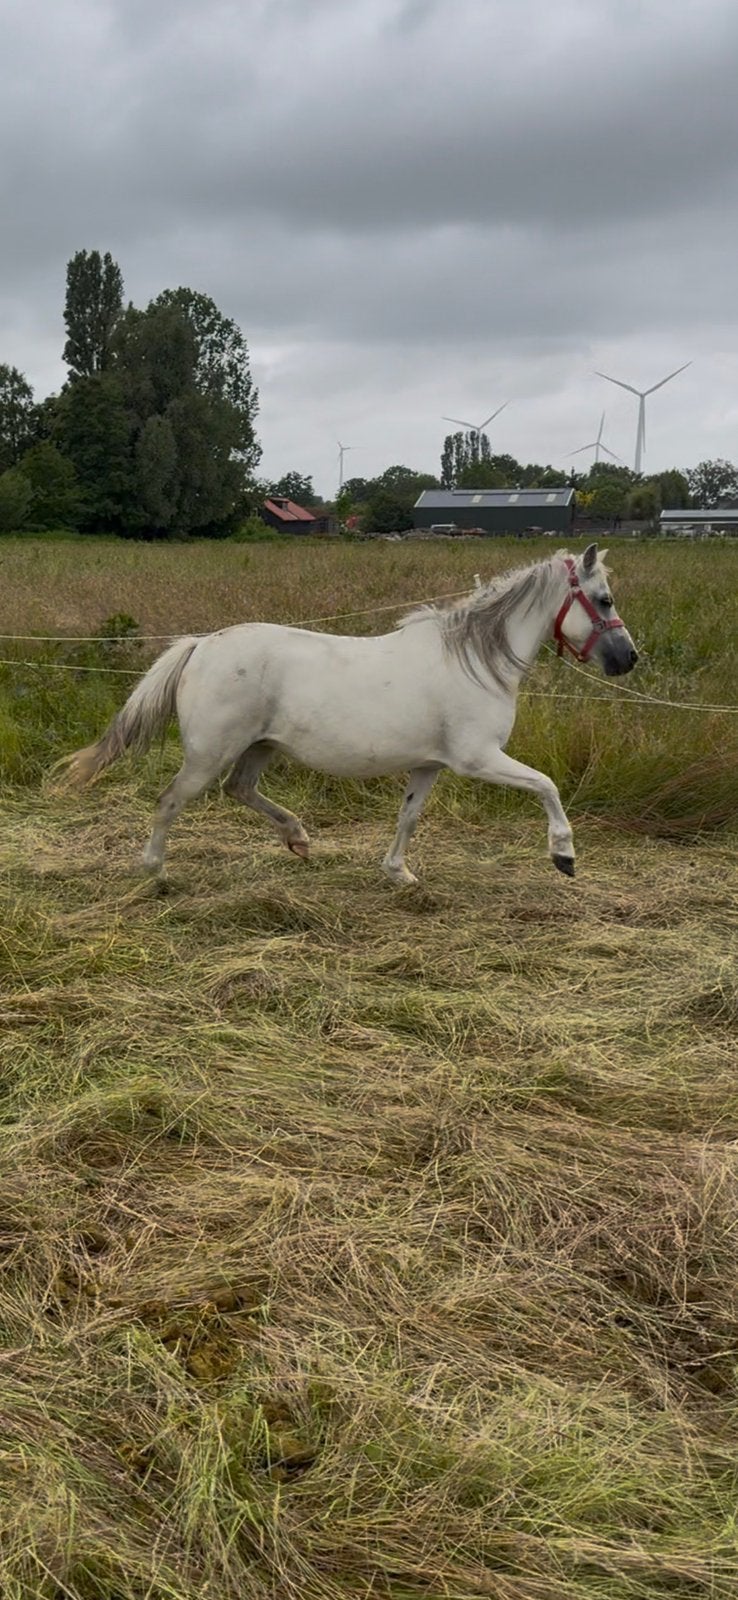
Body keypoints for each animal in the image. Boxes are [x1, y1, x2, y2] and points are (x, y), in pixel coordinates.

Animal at [64, 543, 637, 885]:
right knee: (170, 801)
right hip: (210, 754)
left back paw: (298, 838)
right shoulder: (479, 758)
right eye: (604, 599)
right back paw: (154, 870)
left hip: (259, 748)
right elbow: (547, 787)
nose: (628, 658)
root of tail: (202, 645)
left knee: (240, 791)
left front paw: (398, 873)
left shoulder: (429, 764)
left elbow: (409, 816)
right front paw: (564, 856)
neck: (476, 662)